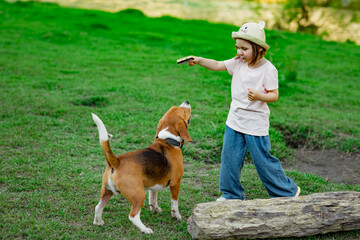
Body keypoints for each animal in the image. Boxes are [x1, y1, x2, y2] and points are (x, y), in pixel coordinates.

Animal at [91, 101, 193, 232]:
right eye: (184, 111)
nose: (187, 102)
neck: (168, 140)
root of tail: (116, 161)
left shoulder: (154, 183)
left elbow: (153, 198)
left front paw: (155, 209)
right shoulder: (176, 183)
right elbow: (174, 204)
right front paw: (177, 217)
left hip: (107, 192)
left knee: (98, 207)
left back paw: (98, 222)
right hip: (139, 195)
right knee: (133, 215)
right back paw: (145, 230)